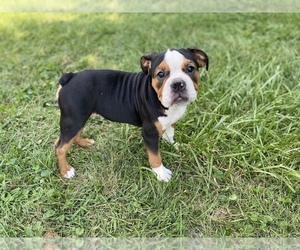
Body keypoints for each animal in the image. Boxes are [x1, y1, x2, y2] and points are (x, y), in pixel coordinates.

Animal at [54, 47, 209, 182]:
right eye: (160, 74)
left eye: (190, 69)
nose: (177, 84)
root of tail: (70, 76)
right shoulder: (149, 133)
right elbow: (155, 156)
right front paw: (161, 173)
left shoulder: (170, 122)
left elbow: (169, 135)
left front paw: (175, 146)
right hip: (73, 120)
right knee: (60, 147)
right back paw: (66, 170)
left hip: (80, 117)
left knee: (74, 136)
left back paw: (85, 143)